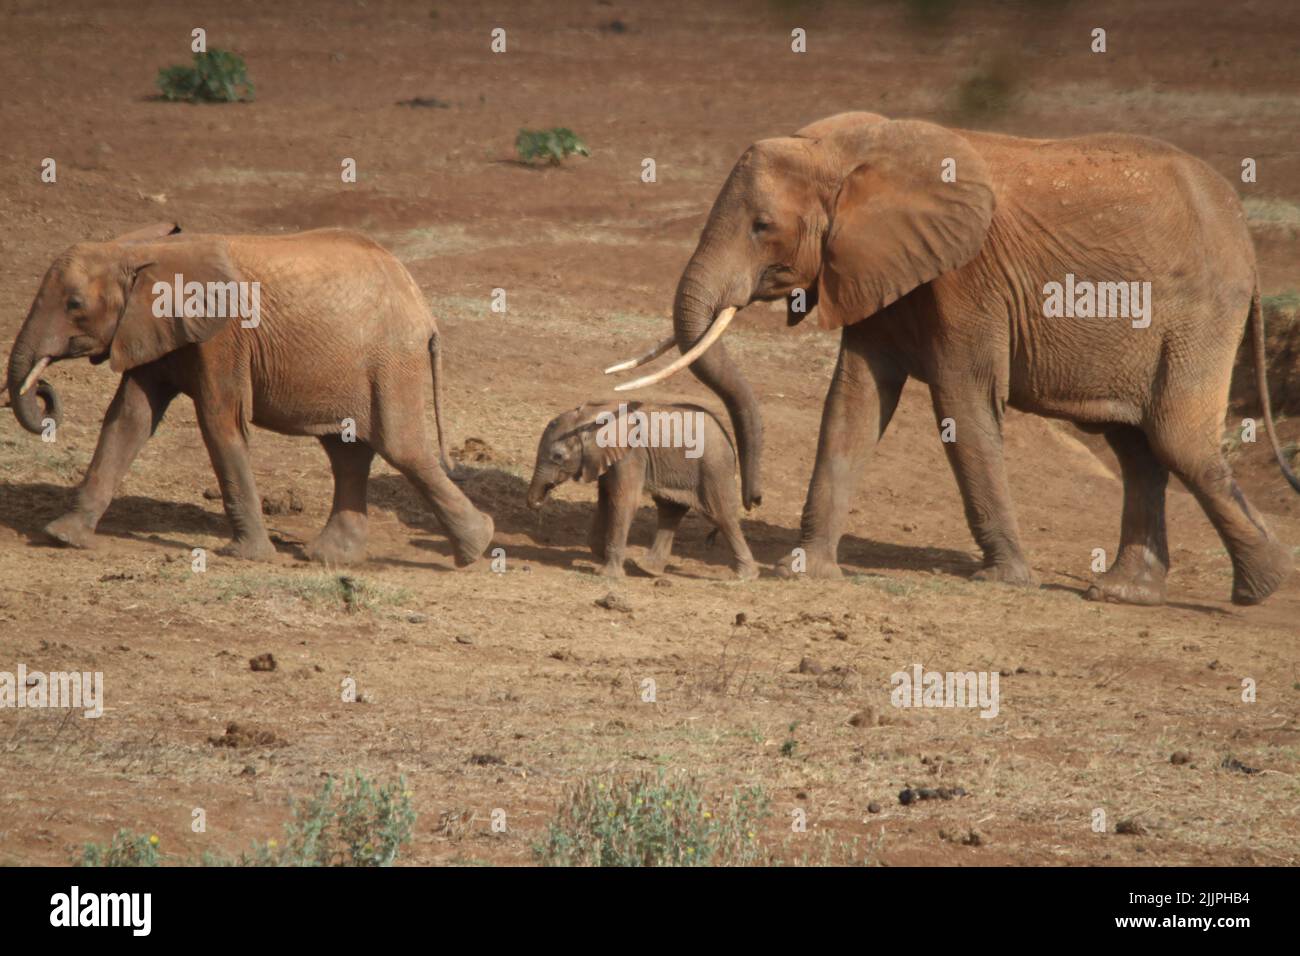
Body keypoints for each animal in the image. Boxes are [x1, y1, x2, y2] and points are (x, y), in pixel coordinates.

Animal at [6, 222, 491, 567]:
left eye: (73, 305)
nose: (44, 391)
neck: (139, 252)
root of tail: (423, 308)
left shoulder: (223, 339)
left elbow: (219, 421)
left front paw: (248, 557)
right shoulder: (152, 329)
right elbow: (128, 419)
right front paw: (61, 536)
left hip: (391, 362)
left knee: (401, 448)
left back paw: (475, 548)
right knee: (348, 452)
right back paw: (329, 559)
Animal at [522, 400, 759, 580]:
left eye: (558, 456)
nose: (540, 500)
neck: (591, 417)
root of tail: (727, 437)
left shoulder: (631, 456)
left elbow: (623, 500)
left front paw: (607, 575)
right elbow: (606, 498)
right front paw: (600, 552)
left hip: (713, 466)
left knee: (721, 515)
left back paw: (745, 576)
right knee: (670, 510)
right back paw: (648, 569)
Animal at [611, 111, 1300, 606]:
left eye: (760, 226)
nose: (753, 500)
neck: (854, 150)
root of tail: (1244, 235)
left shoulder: (967, 280)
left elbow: (961, 402)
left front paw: (1004, 581)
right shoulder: (875, 267)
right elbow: (854, 403)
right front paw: (803, 572)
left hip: (1200, 311)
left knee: (1176, 439)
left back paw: (1259, 587)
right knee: (1138, 449)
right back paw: (1126, 593)